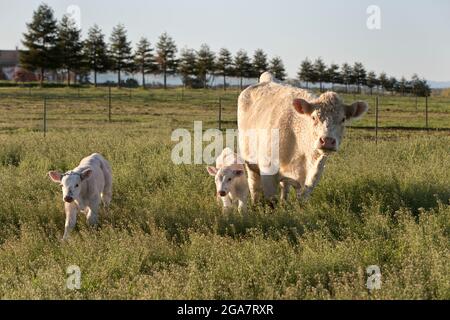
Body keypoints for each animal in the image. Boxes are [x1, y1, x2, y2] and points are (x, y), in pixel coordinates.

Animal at [237, 72, 368, 202]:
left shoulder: (313, 177)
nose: (327, 140)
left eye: (343, 119)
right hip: (249, 161)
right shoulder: (268, 172)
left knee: (284, 188)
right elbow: (271, 201)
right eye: (314, 117)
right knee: (254, 186)